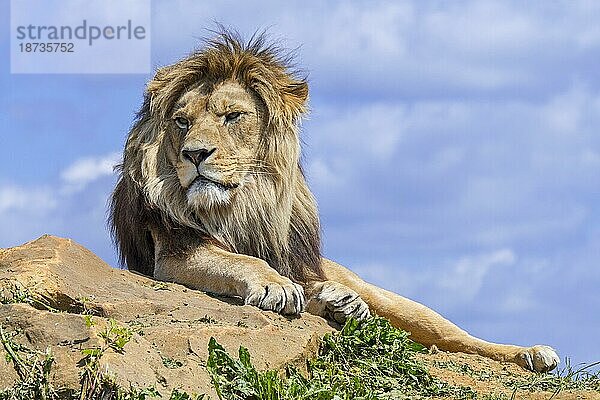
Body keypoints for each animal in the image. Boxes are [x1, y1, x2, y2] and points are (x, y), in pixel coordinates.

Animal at [108, 29, 556, 374]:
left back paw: (531, 353)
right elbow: (242, 260)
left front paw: (310, 293)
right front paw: (278, 286)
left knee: (450, 335)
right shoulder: (172, 255)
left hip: (388, 297)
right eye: (181, 121)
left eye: (232, 117)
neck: (243, 202)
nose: (194, 154)